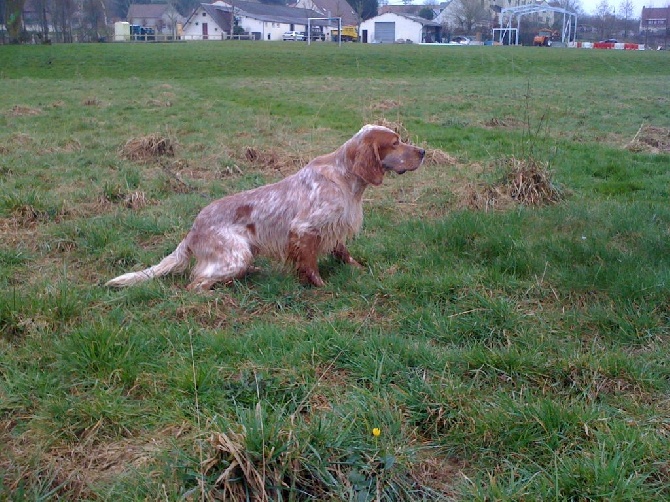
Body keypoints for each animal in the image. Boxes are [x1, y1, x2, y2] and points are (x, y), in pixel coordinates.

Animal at [107, 124, 428, 290]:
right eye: (395, 143)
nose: (424, 151)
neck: (344, 177)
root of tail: (192, 231)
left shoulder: (334, 226)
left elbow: (343, 252)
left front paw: (358, 269)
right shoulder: (304, 228)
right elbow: (309, 264)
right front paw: (320, 287)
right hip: (235, 255)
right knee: (195, 283)